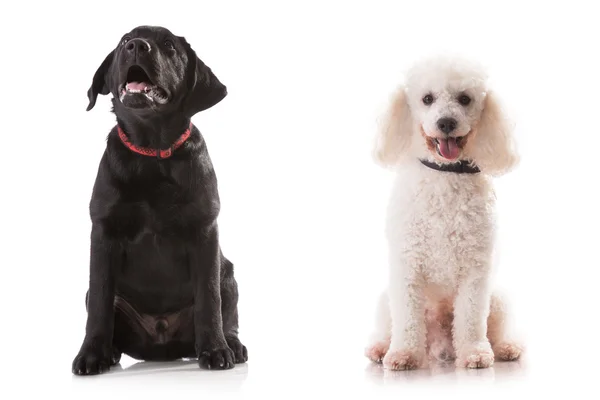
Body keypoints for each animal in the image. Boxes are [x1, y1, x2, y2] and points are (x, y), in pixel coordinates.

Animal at [72, 26, 246, 376]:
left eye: (168, 45)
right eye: (124, 41)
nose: (137, 46)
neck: (152, 153)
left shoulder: (205, 231)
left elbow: (209, 300)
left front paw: (216, 350)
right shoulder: (103, 233)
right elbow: (99, 302)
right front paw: (91, 355)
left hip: (229, 275)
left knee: (228, 314)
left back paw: (232, 345)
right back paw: (111, 352)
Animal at [364, 54, 524, 370]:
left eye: (465, 99)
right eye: (427, 99)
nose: (446, 122)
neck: (445, 173)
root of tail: (440, 346)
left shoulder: (476, 269)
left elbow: (471, 318)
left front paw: (475, 352)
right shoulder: (407, 264)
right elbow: (406, 320)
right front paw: (403, 353)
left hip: (498, 298)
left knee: (495, 329)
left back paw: (506, 347)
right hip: (386, 298)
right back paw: (380, 348)